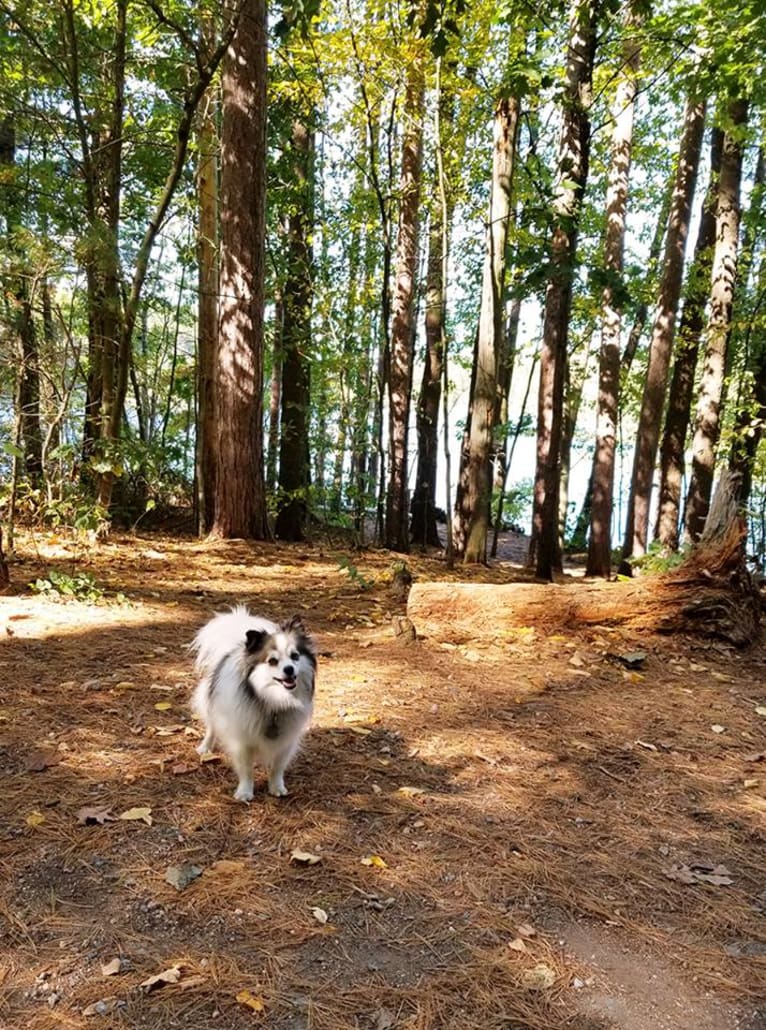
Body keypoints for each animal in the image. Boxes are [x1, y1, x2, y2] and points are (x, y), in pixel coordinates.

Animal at [191, 605, 317, 799]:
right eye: (272, 661)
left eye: (295, 656)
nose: (289, 669)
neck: (273, 701)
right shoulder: (241, 742)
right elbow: (246, 770)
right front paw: (245, 792)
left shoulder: (287, 741)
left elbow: (278, 767)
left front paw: (276, 787)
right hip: (213, 708)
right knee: (212, 727)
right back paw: (205, 747)